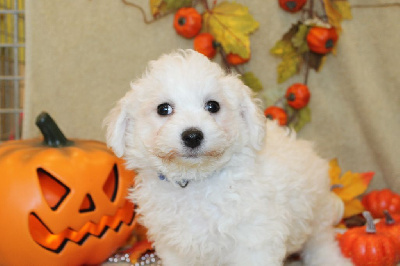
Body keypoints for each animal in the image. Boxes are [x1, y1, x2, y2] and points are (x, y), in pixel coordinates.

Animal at [104, 50, 352, 266]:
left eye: (213, 106)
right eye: (163, 109)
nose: (192, 136)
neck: (196, 182)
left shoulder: (255, 238)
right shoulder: (176, 247)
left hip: (316, 215)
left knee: (321, 244)